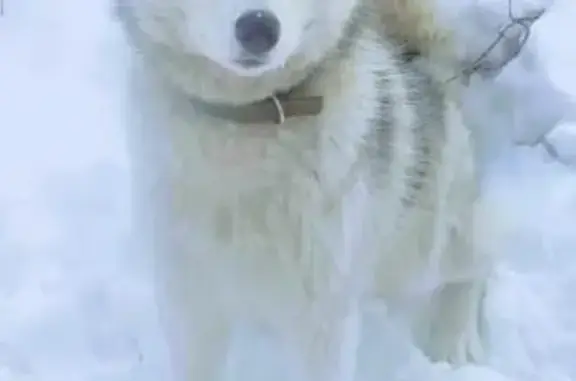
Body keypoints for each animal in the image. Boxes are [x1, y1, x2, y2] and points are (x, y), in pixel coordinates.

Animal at [117, 0, 490, 378]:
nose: (258, 28)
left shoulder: (324, 312)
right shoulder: (187, 298)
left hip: (420, 251)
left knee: (477, 262)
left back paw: (455, 339)